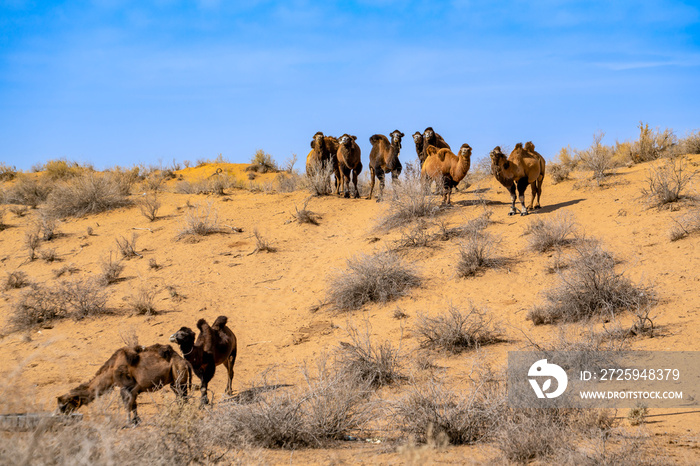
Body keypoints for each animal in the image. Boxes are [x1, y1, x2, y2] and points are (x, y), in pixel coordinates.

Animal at [57, 342, 190, 426]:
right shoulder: (134, 388)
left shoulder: (126, 386)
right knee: (180, 397)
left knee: (183, 397)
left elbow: (127, 404)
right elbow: (134, 405)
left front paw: (128, 423)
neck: (111, 371)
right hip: (174, 381)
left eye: (64, 406)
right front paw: (136, 421)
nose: (62, 418)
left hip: (179, 375)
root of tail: (184, 361)